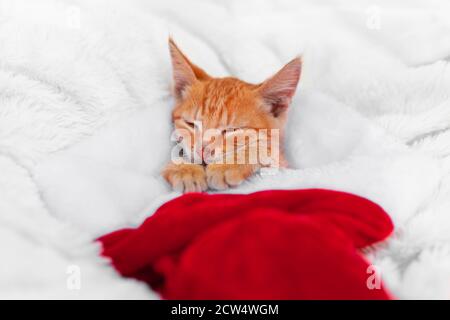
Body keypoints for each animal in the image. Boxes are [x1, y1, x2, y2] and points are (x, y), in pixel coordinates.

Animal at [163, 38, 302, 192]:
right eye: (190, 124)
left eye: (232, 130)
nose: (202, 151)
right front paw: (184, 168)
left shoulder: (284, 166)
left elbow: (266, 149)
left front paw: (228, 165)